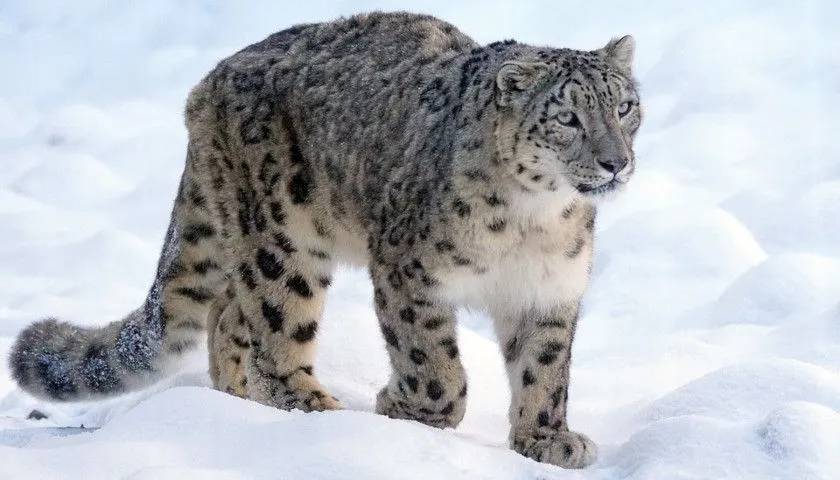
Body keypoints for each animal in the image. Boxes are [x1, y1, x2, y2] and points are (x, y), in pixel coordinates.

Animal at [9, 11, 641, 468]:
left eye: (625, 106)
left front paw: (546, 439)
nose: (616, 162)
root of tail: (208, 84)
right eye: (567, 118)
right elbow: (434, 365)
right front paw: (403, 407)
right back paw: (310, 408)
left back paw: (234, 401)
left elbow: (545, 369)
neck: (535, 220)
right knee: (272, 326)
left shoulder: (549, 290)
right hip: (282, 241)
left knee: (227, 314)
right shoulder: (409, 273)